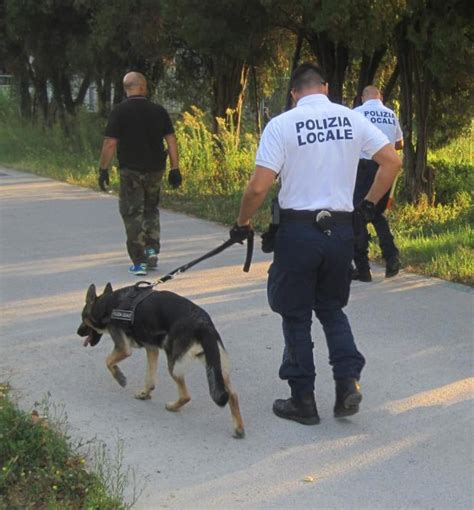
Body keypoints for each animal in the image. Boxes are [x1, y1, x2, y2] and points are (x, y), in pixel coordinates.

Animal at [77, 282, 244, 438]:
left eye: (82, 318)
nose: (78, 332)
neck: (108, 304)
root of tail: (204, 325)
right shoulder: (152, 349)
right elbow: (149, 379)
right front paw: (145, 394)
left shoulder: (123, 349)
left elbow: (108, 361)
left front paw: (120, 378)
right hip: (215, 366)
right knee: (233, 394)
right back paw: (239, 428)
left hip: (174, 365)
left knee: (186, 395)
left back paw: (172, 407)